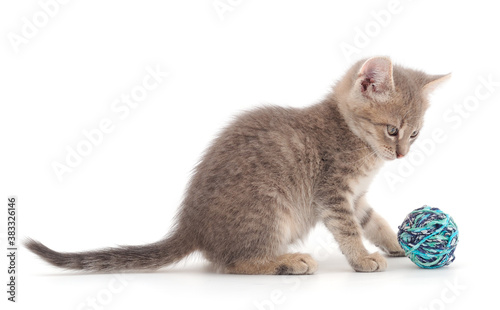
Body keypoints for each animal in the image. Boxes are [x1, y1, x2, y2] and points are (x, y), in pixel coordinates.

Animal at [26, 55, 450, 274]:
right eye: (392, 130)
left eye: (415, 134)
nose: (402, 154)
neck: (355, 139)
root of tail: (192, 227)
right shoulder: (332, 193)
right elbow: (348, 230)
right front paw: (361, 258)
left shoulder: (356, 197)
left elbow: (373, 222)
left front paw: (396, 243)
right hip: (268, 205)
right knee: (235, 262)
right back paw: (287, 262)